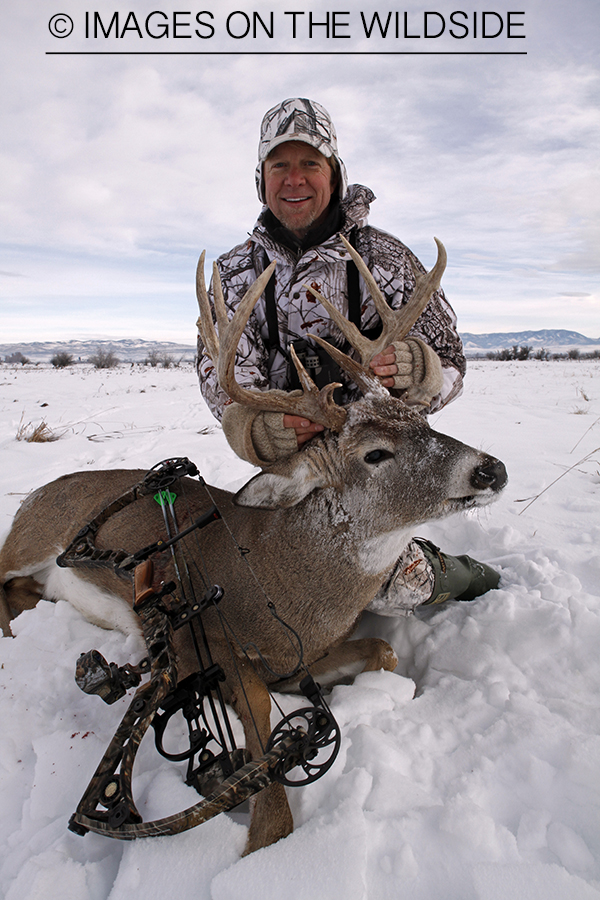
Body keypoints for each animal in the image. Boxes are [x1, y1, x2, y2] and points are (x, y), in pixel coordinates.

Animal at [0, 236, 507, 855]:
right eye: (375, 453)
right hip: (30, 538)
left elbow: (385, 652)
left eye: (421, 420)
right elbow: (265, 739)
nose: (492, 469)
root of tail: (33, 494)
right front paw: (260, 833)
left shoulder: (300, 660)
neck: (280, 583)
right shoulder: (199, 644)